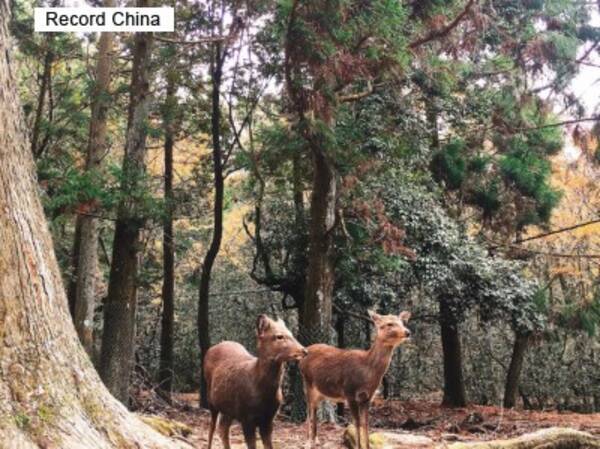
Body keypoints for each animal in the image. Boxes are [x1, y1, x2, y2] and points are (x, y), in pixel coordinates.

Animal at [203, 314, 308, 449]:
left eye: (291, 333)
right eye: (279, 336)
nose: (304, 351)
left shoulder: (269, 418)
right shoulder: (246, 417)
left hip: (228, 407)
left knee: (223, 428)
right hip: (211, 400)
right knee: (212, 428)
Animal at [299, 310, 412, 449]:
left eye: (402, 322)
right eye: (389, 323)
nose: (407, 332)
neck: (367, 372)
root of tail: (302, 358)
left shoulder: (368, 397)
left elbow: (366, 423)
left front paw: (367, 446)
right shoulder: (350, 392)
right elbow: (356, 423)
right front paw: (358, 445)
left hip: (320, 392)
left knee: (314, 409)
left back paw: (316, 440)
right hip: (307, 381)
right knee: (308, 410)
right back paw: (308, 442)